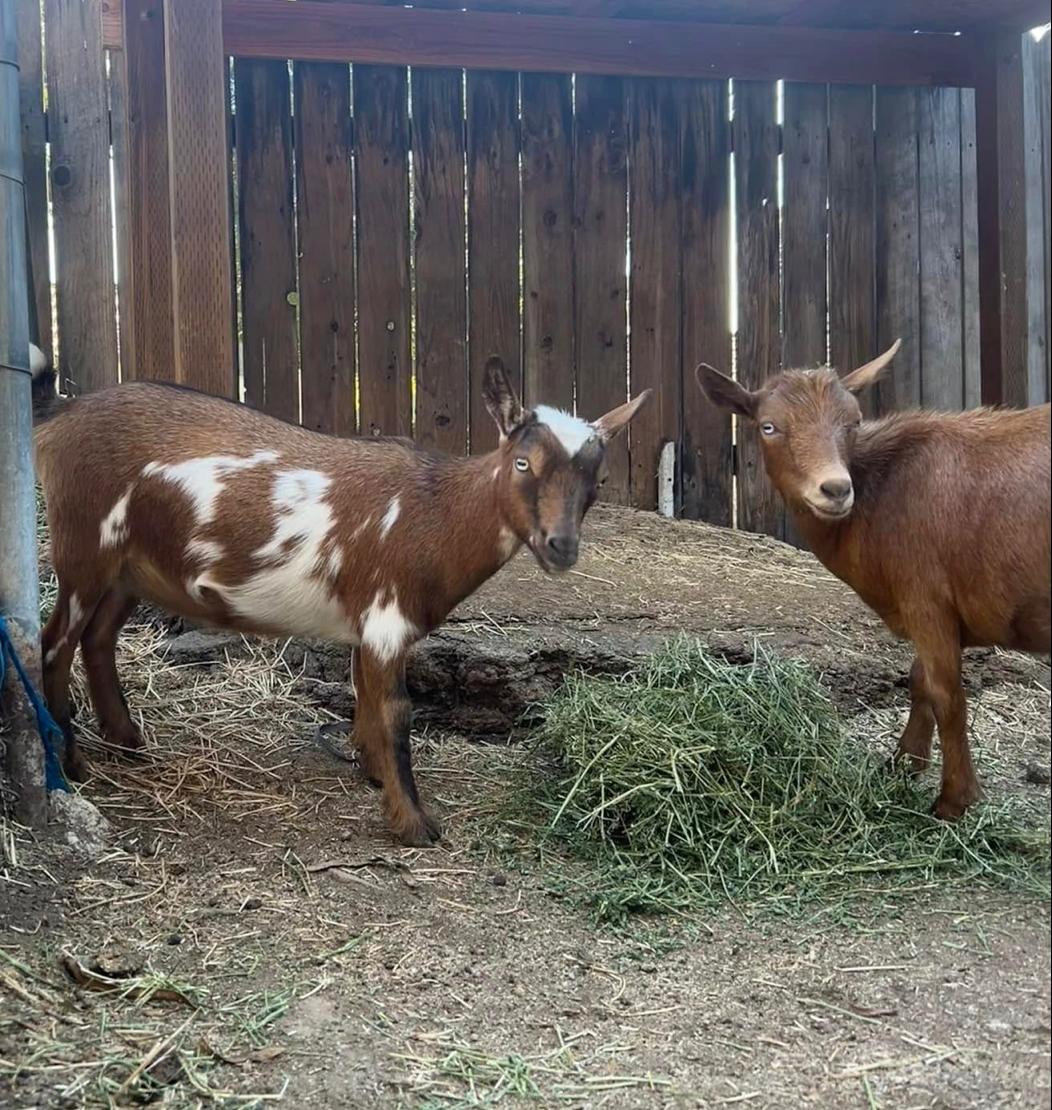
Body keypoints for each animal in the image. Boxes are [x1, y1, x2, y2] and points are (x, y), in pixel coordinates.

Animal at [31, 352, 649, 845]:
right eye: (523, 463)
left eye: (597, 481)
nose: (561, 546)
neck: (436, 510)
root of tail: (60, 416)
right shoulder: (387, 617)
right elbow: (397, 712)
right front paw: (413, 823)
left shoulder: (367, 622)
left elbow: (365, 696)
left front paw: (372, 773)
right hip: (85, 542)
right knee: (54, 642)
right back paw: (71, 761)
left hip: (127, 569)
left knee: (99, 637)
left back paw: (126, 740)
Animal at [696, 342, 1051, 819]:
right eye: (768, 426)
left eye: (854, 421)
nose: (835, 489)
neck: (881, 493)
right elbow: (919, 681)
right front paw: (903, 763)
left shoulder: (927, 599)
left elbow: (947, 696)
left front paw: (953, 801)